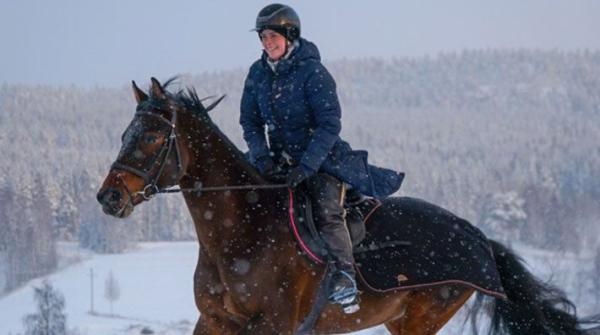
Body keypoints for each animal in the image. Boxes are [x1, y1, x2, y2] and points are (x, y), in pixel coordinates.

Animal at [96, 77, 592, 334]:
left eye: (153, 137)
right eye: (123, 134)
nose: (109, 197)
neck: (241, 232)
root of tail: (479, 237)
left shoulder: (273, 325)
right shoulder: (215, 322)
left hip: (423, 316)